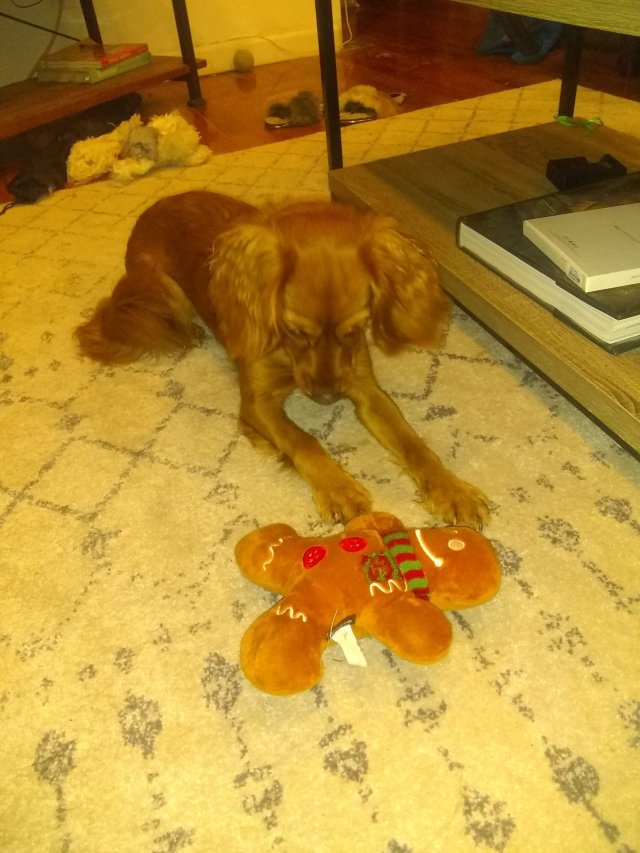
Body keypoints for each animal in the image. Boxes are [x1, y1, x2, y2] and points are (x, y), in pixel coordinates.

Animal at [76, 190, 489, 528]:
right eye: (296, 331)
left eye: (356, 329)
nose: (327, 399)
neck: (286, 356)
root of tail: (153, 207)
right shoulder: (256, 402)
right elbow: (303, 440)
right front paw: (338, 487)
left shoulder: (365, 389)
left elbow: (413, 443)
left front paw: (452, 490)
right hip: (164, 290)